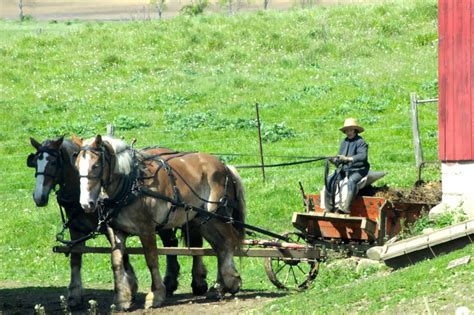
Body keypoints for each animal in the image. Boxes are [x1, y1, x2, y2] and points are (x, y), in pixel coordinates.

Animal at [74, 135, 246, 312]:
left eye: (96, 166)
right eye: (77, 166)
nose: (87, 203)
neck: (131, 185)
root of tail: (225, 167)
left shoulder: (146, 229)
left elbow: (152, 260)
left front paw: (155, 295)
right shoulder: (116, 231)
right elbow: (117, 262)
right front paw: (122, 299)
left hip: (218, 215)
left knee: (229, 241)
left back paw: (231, 281)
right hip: (203, 220)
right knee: (220, 246)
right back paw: (221, 286)